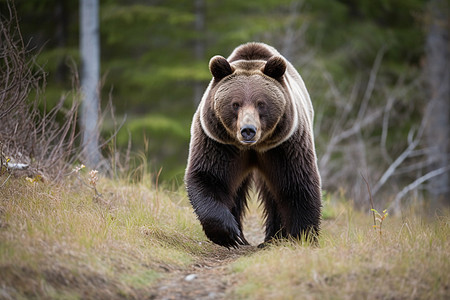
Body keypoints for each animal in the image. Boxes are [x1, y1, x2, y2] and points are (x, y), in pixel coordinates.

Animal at [185, 42, 322, 248]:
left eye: (261, 104)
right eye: (235, 104)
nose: (248, 130)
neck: (253, 148)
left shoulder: (285, 145)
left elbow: (297, 183)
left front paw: (303, 236)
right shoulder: (219, 143)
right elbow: (209, 177)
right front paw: (229, 235)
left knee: (273, 193)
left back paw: (273, 237)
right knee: (237, 191)